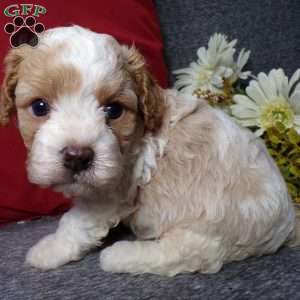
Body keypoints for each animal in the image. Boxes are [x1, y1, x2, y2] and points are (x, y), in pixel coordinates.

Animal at [0, 27, 296, 276]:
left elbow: (75, 223)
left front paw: (50, 250)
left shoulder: (112, 188)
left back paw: (120, 255)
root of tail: (288, 223)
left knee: (193, 252)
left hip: (210, 223)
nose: (77, 156)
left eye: (114, 110)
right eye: (40, 107)